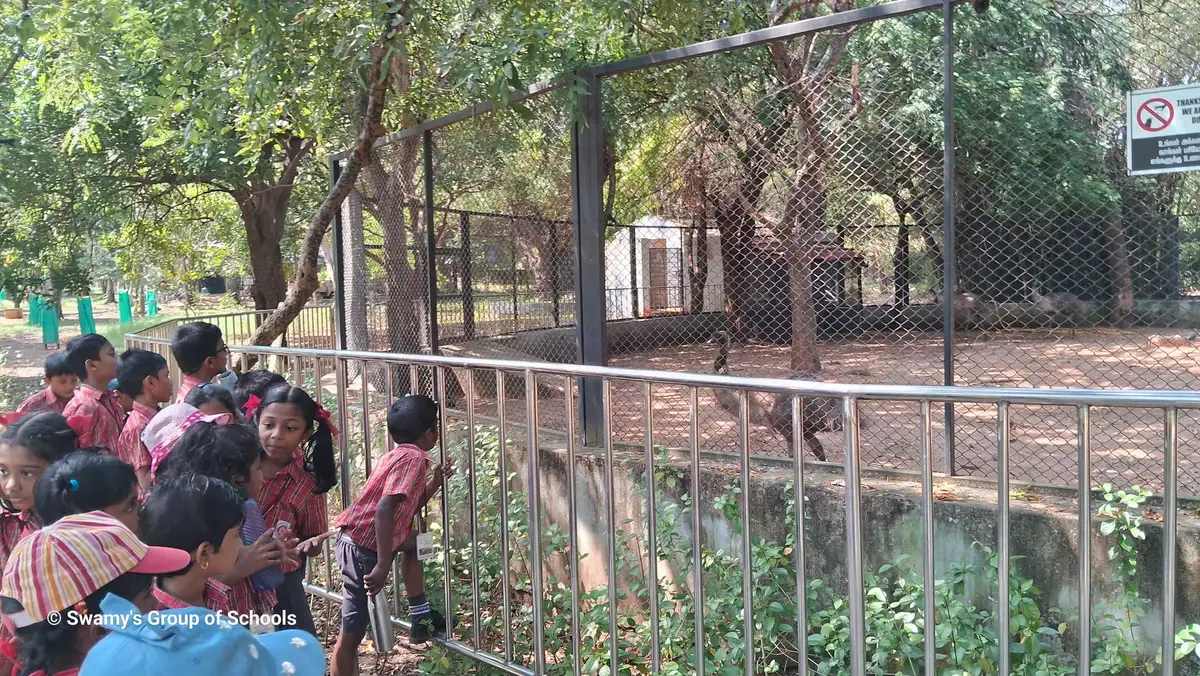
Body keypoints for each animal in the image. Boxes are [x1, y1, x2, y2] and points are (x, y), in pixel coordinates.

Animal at [705, 331, 840, 463]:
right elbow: (814, 451)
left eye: (716, 336)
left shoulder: (786, 429)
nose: (709, 340)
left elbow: (794, 454)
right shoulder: (801, 430)